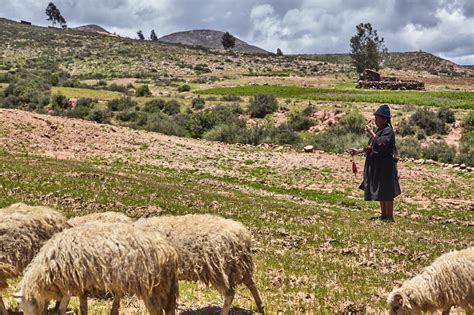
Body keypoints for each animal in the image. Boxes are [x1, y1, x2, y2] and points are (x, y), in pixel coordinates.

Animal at [16, 222, 179, 315]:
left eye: (27, 306)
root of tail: (169, 250)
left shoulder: (68, 285)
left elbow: (61, 310)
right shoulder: (80, 284)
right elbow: (83, 307)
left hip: (151, 287)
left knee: (156, 311)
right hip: (165, 286)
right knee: (169, 309)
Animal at [135, 214, 264, 314]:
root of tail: (242, 233)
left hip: (219, 267)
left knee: (230, 293)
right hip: (238, 264)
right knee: (250, 283)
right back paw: (261, 307)